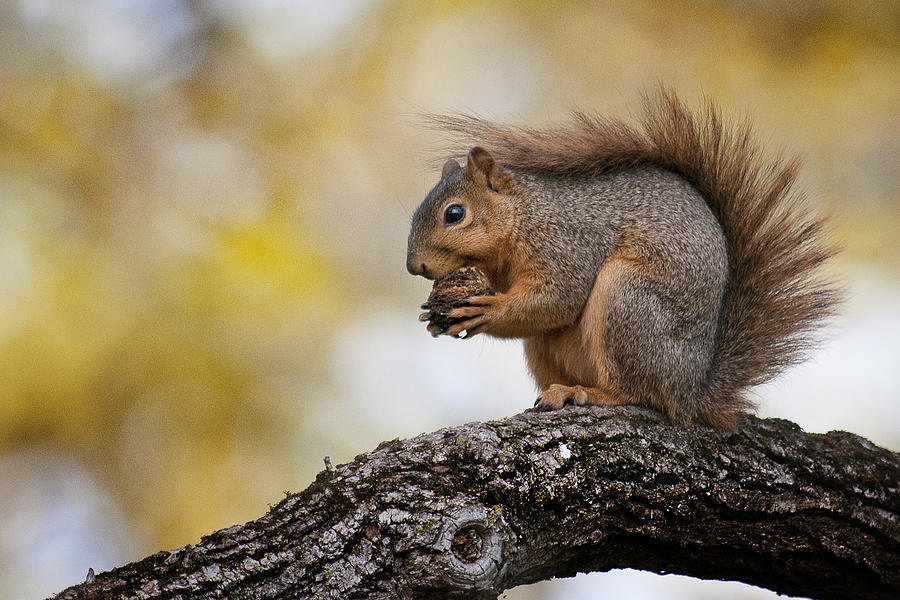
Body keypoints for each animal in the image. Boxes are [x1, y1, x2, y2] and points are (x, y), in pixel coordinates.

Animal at [404, 89, 840, 428]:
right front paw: (434, 316)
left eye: (454, 214)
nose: (415, 267)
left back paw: (585, 393)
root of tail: (691, 390)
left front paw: (483, 309)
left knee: (638, 393)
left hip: (628, 301)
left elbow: (558, 298)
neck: (524, 216)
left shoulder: (567, 245)